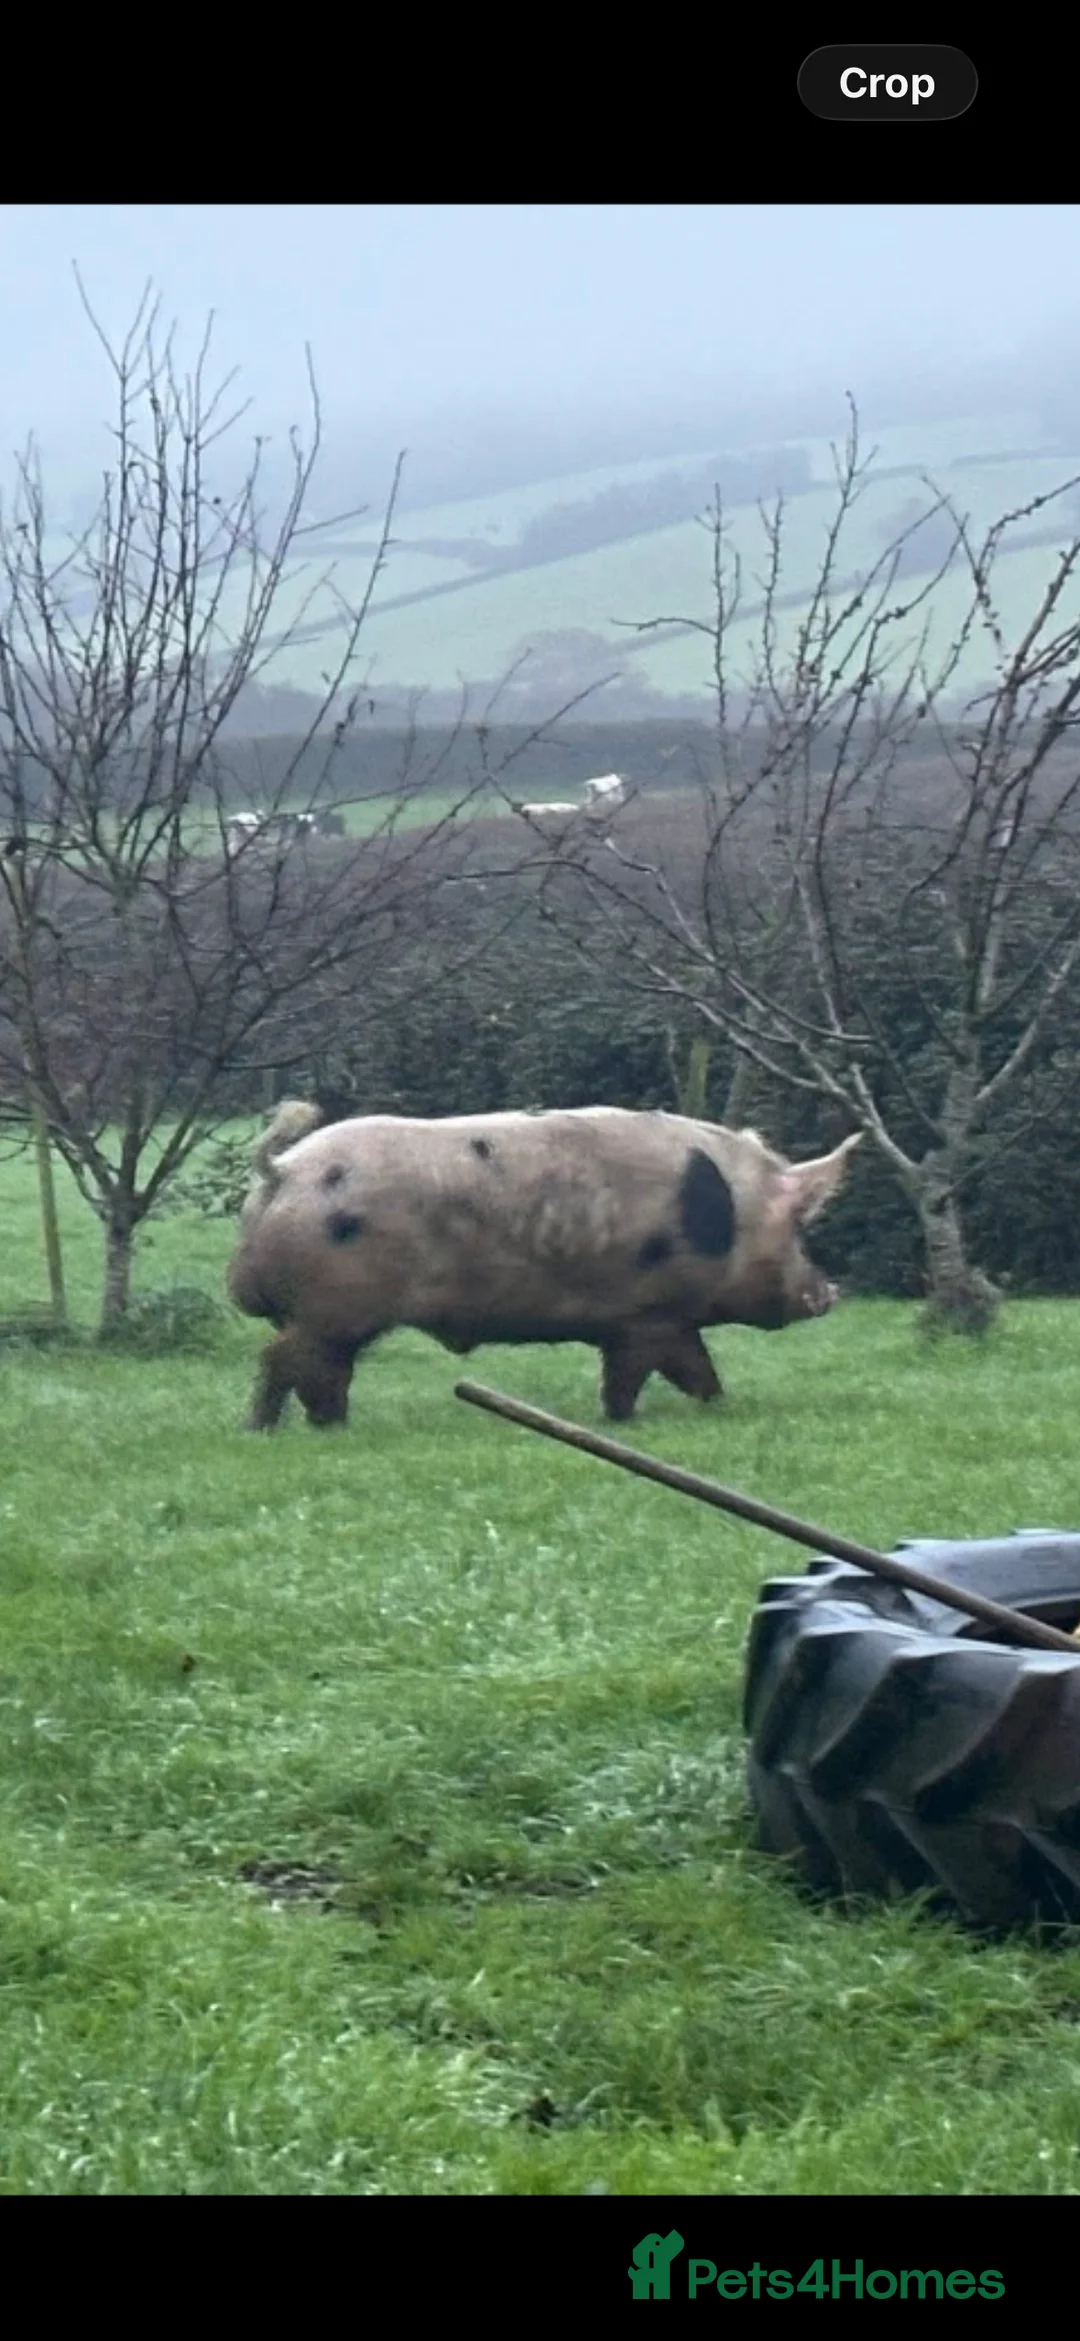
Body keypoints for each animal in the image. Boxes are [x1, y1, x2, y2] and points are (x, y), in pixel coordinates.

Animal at [227, 1101, 859, 1430]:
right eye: (798, 1226)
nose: (829, 1291)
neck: (730, 1217)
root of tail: (281, 1171)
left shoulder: (649, 1321)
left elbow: (690, 1370)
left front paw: (716, 1407)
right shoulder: (651, 1315)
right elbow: (646, 1374)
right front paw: (631, 1421)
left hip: (326, 1316)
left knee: (315, 1369)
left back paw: (318, 1424)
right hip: (331, 1309)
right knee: (287, 1361)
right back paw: (282, 1427)